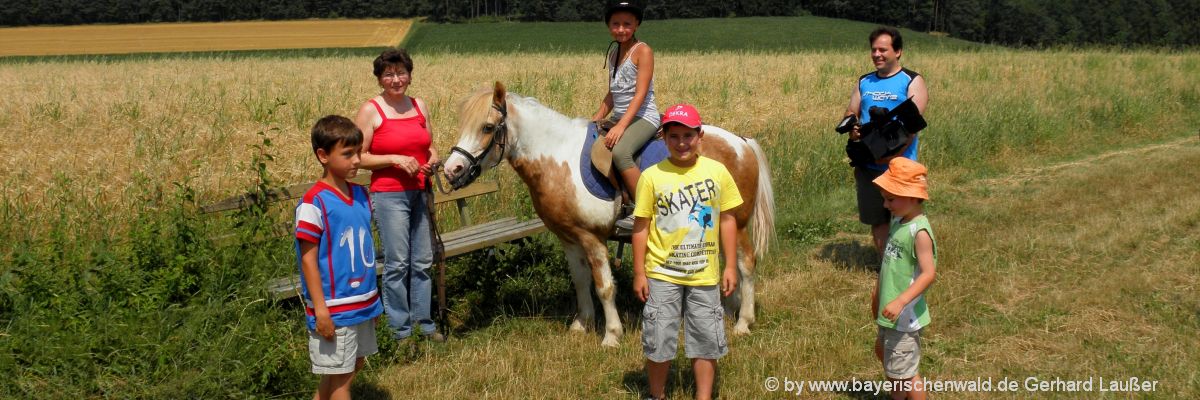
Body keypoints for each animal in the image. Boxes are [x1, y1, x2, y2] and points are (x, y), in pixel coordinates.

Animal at [446, 81, 772, 345]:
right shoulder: (569, 237)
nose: (452, 170)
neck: (557, 158)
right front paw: (582, 325)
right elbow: (580, 280)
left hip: (737, 223)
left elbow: (604, 286)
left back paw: (743, 322)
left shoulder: (592, 238)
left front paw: (612, 334)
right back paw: (728, 311)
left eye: (487, 128)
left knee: (745, 263)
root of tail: (741, 142)